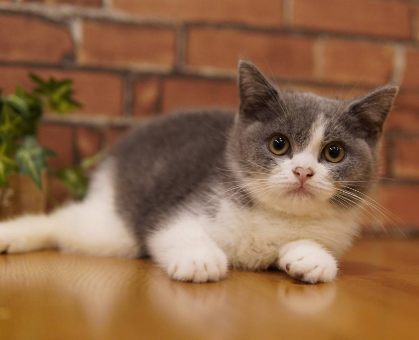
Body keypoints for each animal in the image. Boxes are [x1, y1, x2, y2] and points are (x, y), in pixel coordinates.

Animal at [0, 61, 398, 284]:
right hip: (115, 231)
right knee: (62, 223)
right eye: (279, 144)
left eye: (334, 153)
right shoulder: (182, 205)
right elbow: (173, 230)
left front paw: (311, 257)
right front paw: (200, 258)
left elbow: (313, 249)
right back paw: (12, 235)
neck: (278, 216)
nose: (302, 171)